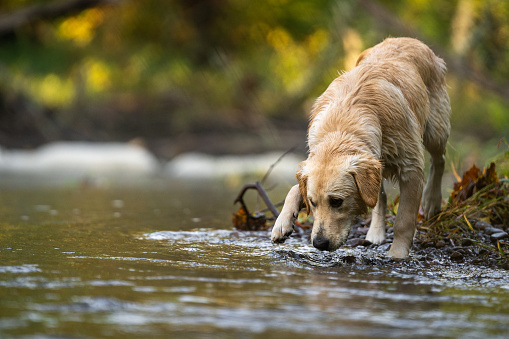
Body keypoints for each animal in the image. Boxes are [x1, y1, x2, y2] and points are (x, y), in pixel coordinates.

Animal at [272, 37, 450, 258]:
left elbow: (404, 220)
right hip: (377, 166)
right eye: (312, 202)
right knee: (379, 195)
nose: (319, 243)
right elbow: (294, 188)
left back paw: (432, 200)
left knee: (439, 160)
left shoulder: (411, 169)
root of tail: (409, 39)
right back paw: (375, 233)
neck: (343, 123)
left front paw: (397, 255)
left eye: (337, 201)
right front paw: (282, 223)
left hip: (435, 130)